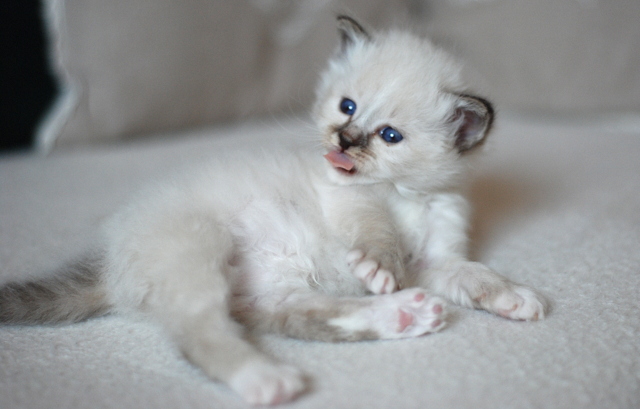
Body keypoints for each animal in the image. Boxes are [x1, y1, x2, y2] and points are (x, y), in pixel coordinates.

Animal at [2, 16, 548, 404]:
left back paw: (402, 317)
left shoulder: (436, 260)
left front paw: (515, 298)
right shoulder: (351, 205)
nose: (343, 140)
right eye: (347, 106)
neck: (403, 194)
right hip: (201, 254)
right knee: (200, 335)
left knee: (308, 319)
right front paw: (380, 269)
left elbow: (477, 275)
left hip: (271, 296)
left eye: (389, 135)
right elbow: (379, 234)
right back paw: (268, 379)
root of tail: (112, 261)